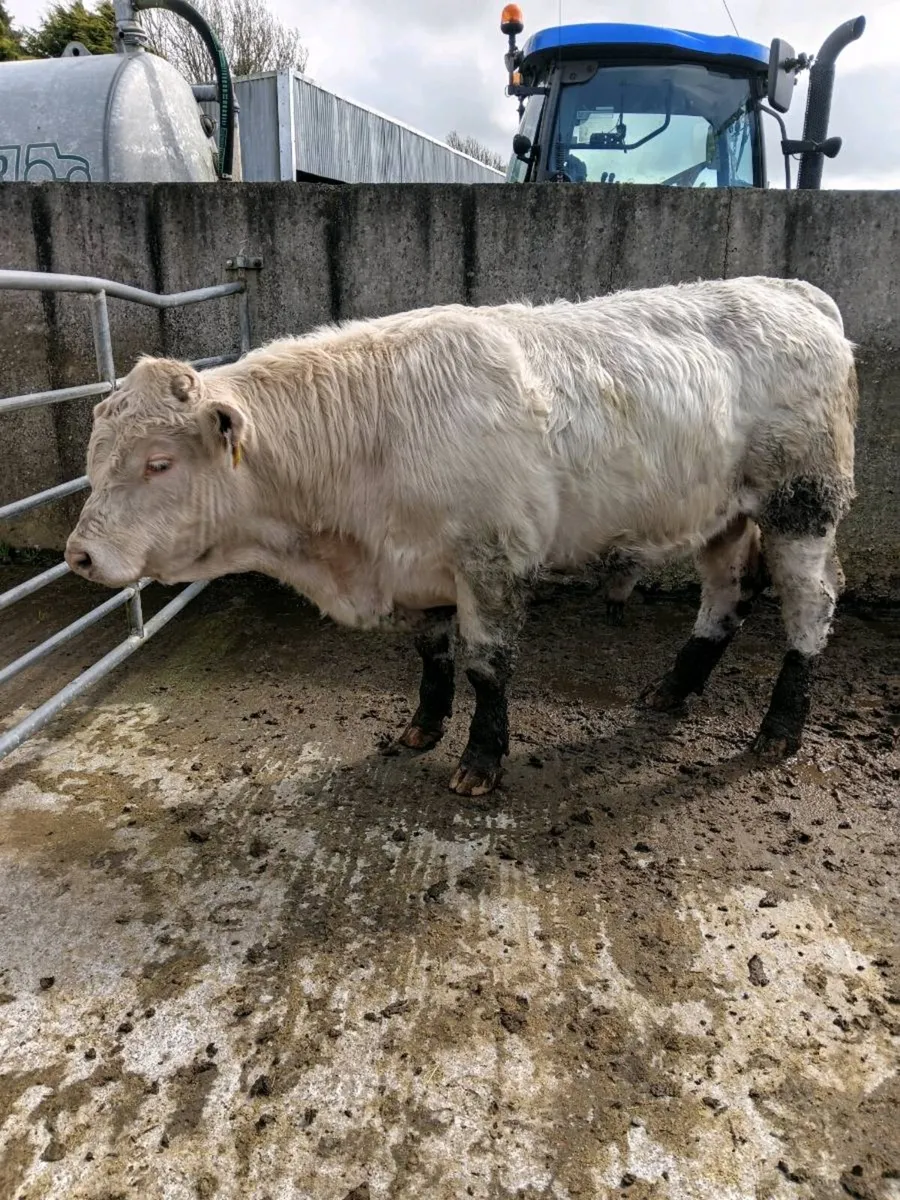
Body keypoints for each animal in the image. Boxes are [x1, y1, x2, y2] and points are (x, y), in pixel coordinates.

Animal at [64, 276, 857, 797]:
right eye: (94, 459)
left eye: (158, 462)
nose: (79, 554)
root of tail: (792, 289)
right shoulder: (419, 566)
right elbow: (432, 652)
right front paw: (423, 726)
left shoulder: (491, 559)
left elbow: (485, 665)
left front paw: (480, 760)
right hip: (720, 513)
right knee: (726, 597)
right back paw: (673, 687)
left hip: (801, 503)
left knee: (810, 606)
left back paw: (780, 727)